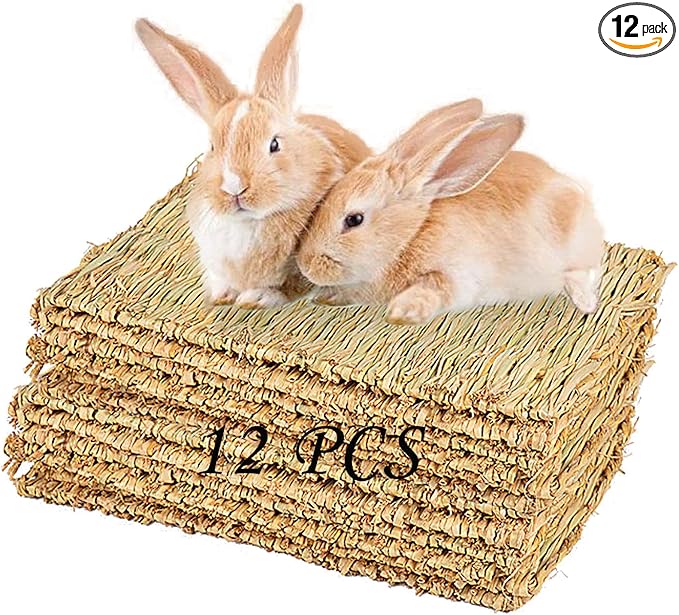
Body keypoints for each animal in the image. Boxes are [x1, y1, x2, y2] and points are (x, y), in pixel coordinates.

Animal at [136, 5, 370, 309]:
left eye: (274, 144)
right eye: (213, 147)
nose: (234, 187)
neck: (249, 223)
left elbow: (289, 287)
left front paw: (254, 298)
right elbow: (219, 279)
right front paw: (221, 296)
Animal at [296, 100, 604, 326]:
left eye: (354, 219)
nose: (306, 265)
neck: (410, 236)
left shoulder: (457, 275)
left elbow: (434, 288)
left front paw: (403, 312)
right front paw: (325, 298)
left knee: (578, 272)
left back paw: (585, 303)